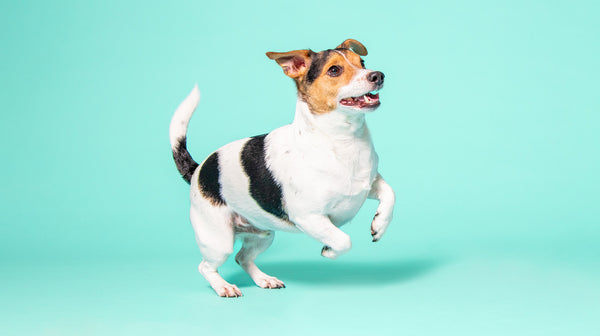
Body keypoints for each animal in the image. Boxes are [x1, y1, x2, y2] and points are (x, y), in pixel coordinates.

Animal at [169, 38, 396, 296]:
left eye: (362, 63)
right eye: (334, 70)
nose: (377, 75)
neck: (343, 140)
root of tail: (197, 170)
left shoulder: (369, 183)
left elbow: (390, 194)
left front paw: (379, 225)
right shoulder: (309, 218)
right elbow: (343, 240)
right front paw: (329, 250)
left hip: (263, 234)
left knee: (242, 258)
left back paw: (264, 279)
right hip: (218, 240)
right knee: (206, 266)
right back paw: (224, 287)